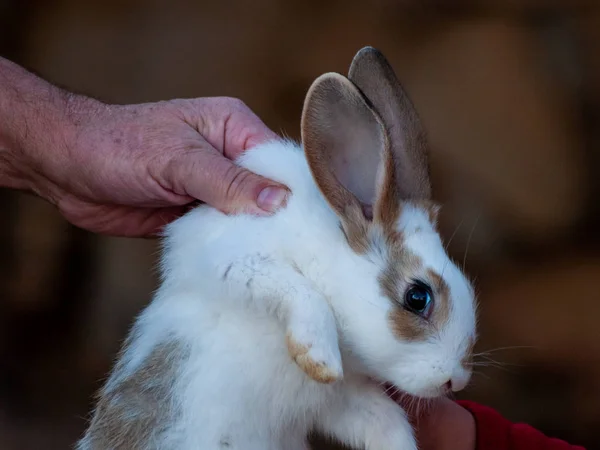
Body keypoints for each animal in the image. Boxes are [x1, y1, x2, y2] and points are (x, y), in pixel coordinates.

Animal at [76, 46, 478, 450]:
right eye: (418, 298)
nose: (455, 380)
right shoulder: (235, 258)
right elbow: (302, 292)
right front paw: (319, 358)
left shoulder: (340, 399)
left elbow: (386, 422)